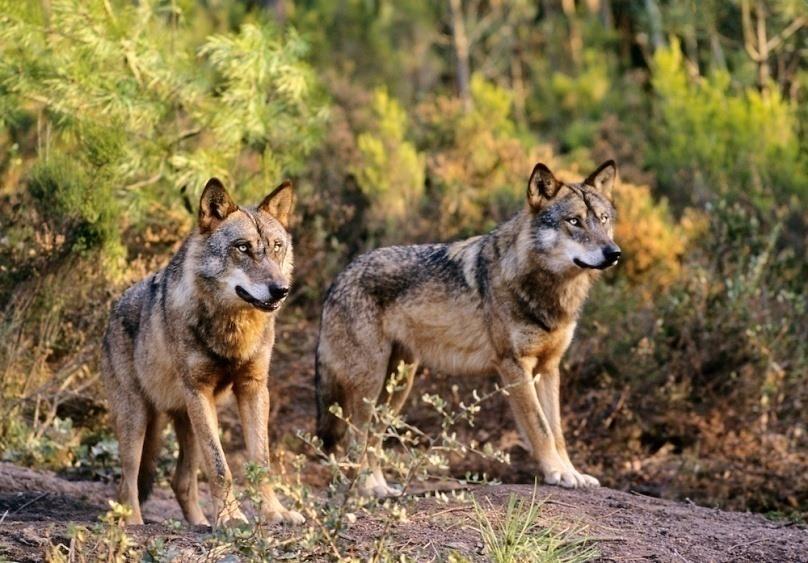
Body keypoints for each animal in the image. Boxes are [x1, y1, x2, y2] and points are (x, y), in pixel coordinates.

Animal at [101, 178, 304, 528]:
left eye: (277, 247)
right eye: (243, 247)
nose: (281, 290)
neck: (234, 329)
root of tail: (113, 310)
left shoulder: (253, 389)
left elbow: (261, 462)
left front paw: (275, 512)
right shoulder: (199, 390)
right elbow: (221, 468)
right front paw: (232, 518)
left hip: (190, 421)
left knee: (180, 482)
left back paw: (199, 522)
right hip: (138, 418)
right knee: (127, 481)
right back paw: (134, 523)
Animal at [314, 161, 620, 496]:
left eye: (603, 219)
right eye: (574, 221)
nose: (614, 252)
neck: (549, 290)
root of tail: (338, 279)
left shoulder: (549, 368)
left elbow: (558, 431)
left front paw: (573, 473)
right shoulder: (514, 367)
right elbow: (541, 428)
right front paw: (558, 474)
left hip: (398, 387)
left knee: (373, 438)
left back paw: (380, 489)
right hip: (372, 383)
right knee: (355, 436)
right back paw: (366, 490)